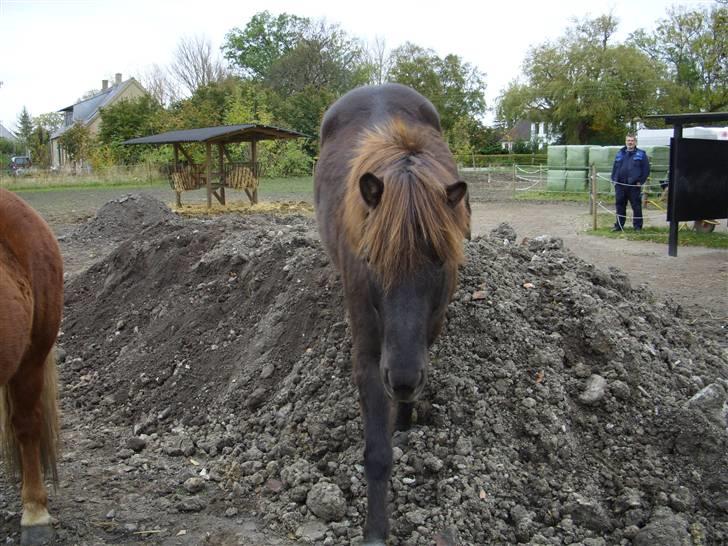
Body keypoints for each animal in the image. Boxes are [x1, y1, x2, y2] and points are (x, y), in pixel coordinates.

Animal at [316, 83, 470, 540]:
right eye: (370, 260)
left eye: (440, 261)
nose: (400, 379)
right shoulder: (369, 354)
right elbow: (378, 453)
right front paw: (375, 531)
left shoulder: (428, 330)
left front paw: (404, 421)